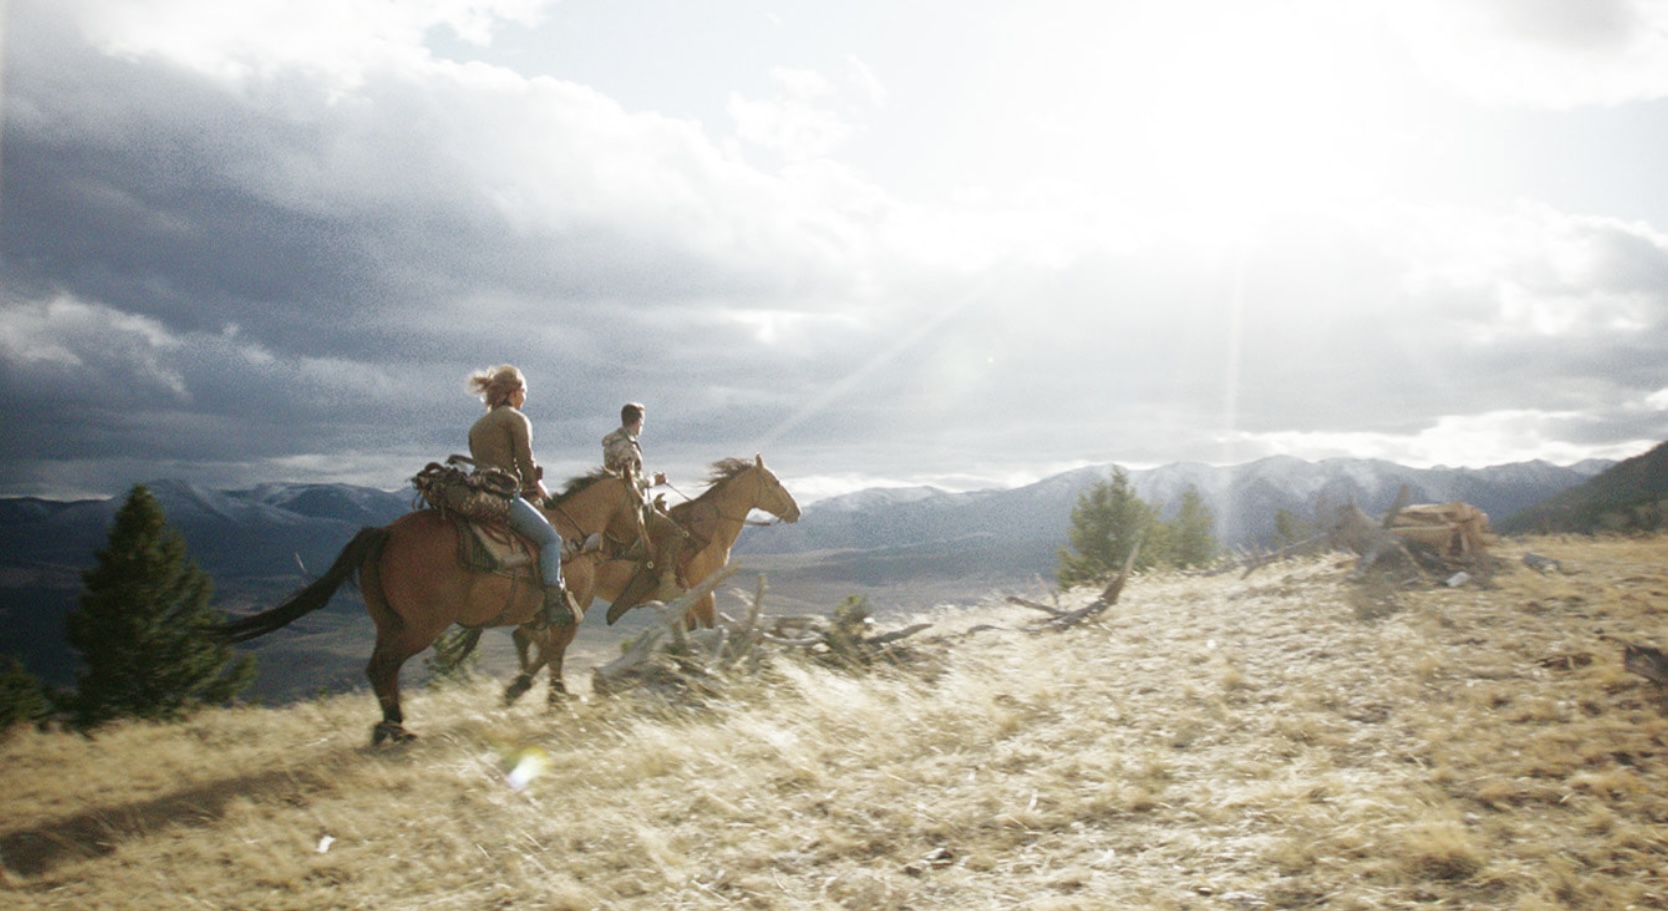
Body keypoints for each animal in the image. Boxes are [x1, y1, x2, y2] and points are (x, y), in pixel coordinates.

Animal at [218, 472, 647, 745]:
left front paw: (551, 694)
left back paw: (391, 725)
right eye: (639, 504)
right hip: (421, 627)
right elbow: (553, 649)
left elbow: (538, 647)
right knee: (384, 665)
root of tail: (385, 532)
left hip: (390, 622)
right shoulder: (570, 607)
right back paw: (396, 728)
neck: (573, 535)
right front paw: (524, 690)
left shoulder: (539, 615)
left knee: (378, 666)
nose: (641, 542)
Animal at [504, 454, 799, 704]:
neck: (713, 531)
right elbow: (710, 629)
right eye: (775, 482)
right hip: (572, 600)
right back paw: (540, 691)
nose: (795, 511)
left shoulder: (684, 600)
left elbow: (690, 634)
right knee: (550, 643)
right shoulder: (704, 593)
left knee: (531, 637)